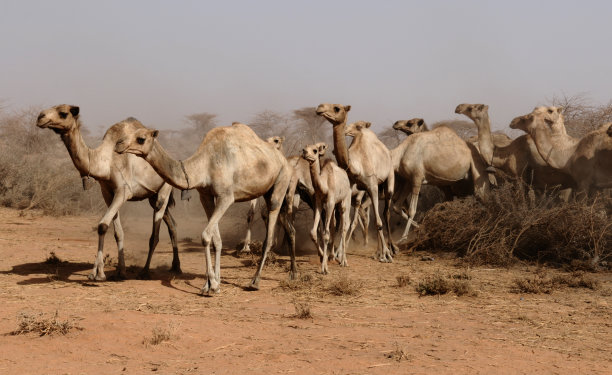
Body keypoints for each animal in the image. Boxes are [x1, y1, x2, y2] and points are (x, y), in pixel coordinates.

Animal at [35, 104, 180, 280]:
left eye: (63, 113)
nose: (40, 117)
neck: (107, 161)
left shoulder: (123, 191)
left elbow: (102, 225)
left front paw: (97, 274)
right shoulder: (108, 193)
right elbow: (118, 233)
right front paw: (120, 271)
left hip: (164, 189)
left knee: (156, 232)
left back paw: (145, 271)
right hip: (152, 195)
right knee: (172, 224)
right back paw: (176, 267)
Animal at [116, 123, 298, 294]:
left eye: (141, 139)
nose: (118, 144)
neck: (205, 164)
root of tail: (284, 160)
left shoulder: (226, 197)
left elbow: (205, 235)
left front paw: (211, 285)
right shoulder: (206, 196)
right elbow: (216, 240)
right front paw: (213, 283)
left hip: (280, 182)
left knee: (269, 234)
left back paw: (255, 281)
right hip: (270, 191)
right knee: (289, 227)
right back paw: (293, 274)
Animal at [300, 143, 350, 274]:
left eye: (315, 150)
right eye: (304, 148)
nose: (304, 153)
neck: (324, 185)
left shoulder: (330, 202)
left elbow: (325, 234)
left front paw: (324, 268)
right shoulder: (319, 203)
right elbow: (313, 232)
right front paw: (324, 257)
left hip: (345, 200)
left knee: (344, 227)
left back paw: (344, 261)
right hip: (334, 206)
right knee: (334, 224)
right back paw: (333, 256)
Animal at [316, 103, 396, 262]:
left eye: (337, 108)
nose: (320, 107)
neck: (356, 165)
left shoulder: (372, 185)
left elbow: (378, 222)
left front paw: (386, 255)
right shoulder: (351, 186)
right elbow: (346, 221)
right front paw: (339, 254)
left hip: (388, 179)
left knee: (385, 213)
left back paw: (390, 250)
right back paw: (378, 252)